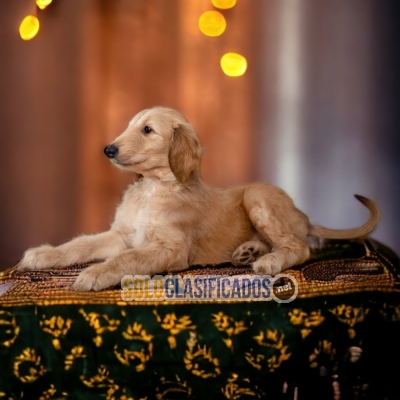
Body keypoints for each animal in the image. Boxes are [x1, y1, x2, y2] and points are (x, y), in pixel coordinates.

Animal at [18, 106, 380, 290]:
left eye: (147, 130)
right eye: (132, 126)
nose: (108, 149)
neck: (153, 188)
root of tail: (301, 214)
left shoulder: (171, 249)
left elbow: (126, 258)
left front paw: (94, 274)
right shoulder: (121, 234)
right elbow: (80, 244)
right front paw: (43, 255)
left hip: (259, 197)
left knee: (299, 246)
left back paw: (267, 260)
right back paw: (248, 251)